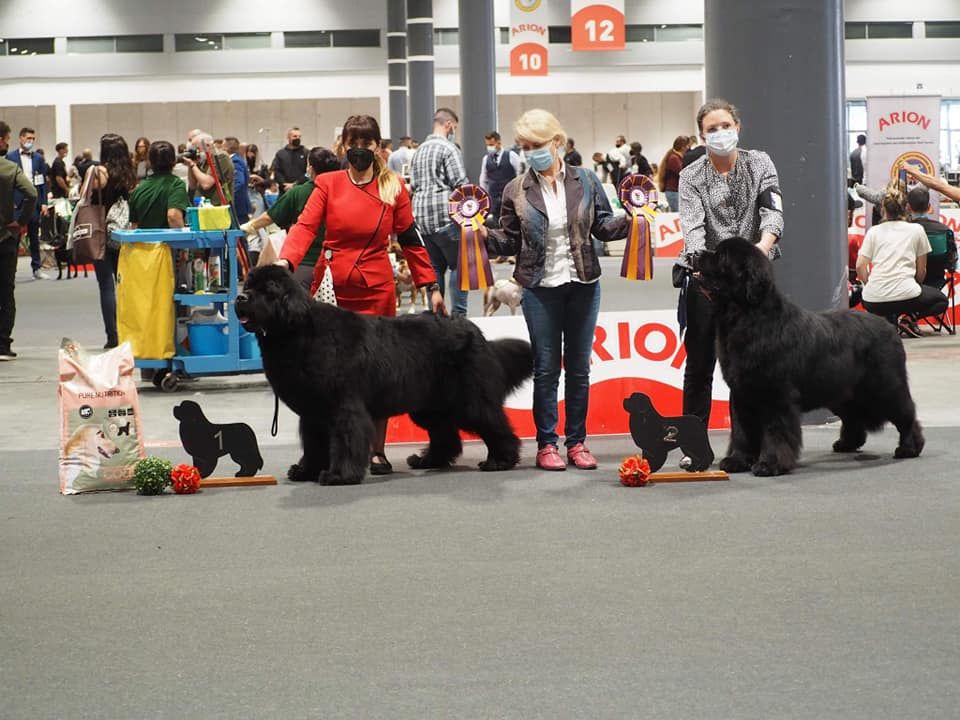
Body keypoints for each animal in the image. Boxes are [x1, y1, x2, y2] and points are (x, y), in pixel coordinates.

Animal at [232, 268, 532, 486]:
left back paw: (500, 460)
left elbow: (346, 440)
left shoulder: (343, 407)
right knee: (445, 433)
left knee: (492, 423)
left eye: (268, 290)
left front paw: (339, 475)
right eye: (247, 287)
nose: (241, 298)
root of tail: (475, 330)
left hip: (468, 398)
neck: (298, 331)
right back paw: (428, 461)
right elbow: (313, 443)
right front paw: (305, 470)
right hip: (430, 404)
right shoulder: (313, 412)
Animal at [692, 239, 928, 476]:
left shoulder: (776, 394)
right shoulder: (741, 392)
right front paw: (737, 460)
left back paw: (909, 448)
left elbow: (775, 431)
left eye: (722, 256)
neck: (746, 317)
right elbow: (741, 431)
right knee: (853, 416)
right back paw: (846, 444)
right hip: (841, 390)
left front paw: (770, 464)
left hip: (884, 387)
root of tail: (888, 325)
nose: (695, 253)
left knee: (906, 414)